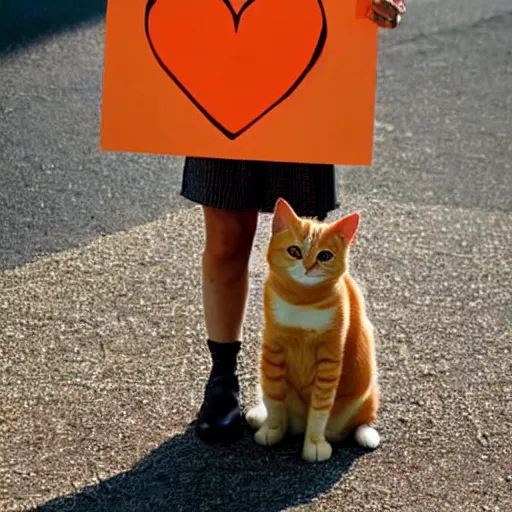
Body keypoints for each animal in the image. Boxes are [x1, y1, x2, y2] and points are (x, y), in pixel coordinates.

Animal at [248, 198, 380, 462]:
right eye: (294, 251)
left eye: (325, 255)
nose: (308, 266)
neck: (303, 301)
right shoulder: (273, 351)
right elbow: (274, 398)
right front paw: (273, 429)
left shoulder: (330, 358)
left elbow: (320, 408)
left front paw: (314, 444)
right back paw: (262, 418)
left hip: (367, 391)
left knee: (360, 420)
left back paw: (365, 433)